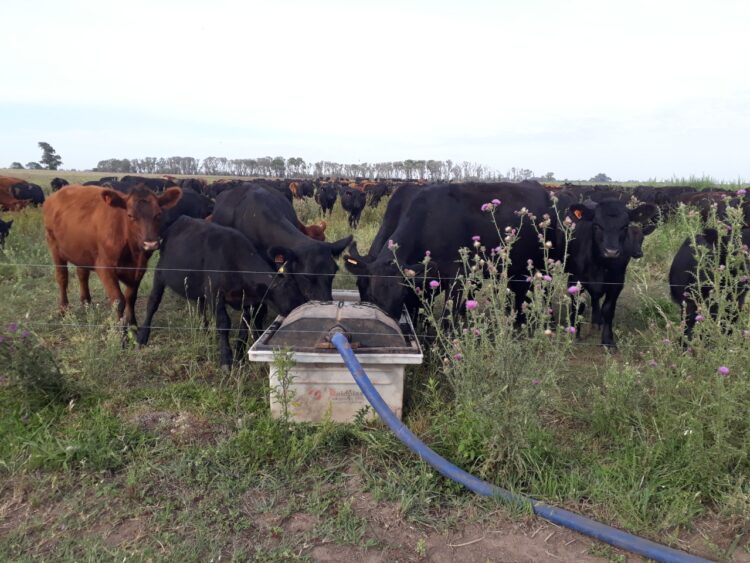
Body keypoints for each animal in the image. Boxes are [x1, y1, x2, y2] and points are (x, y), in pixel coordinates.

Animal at [42, 184, 182, 326]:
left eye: (158, 214)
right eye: (130, 215)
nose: (151, 243)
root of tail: (58, 193)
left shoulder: (140, 269)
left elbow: (131, 297)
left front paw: (132, 324)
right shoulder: (104, 267)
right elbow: (118, 301)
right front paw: (121, 329)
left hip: (81, 251)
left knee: (82, 274)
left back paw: (86, 303)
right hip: (53, 245)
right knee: (62, 278)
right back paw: (63, 309)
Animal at [136, 217, 306, 368]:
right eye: (290, 300)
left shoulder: (248, 300)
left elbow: (245, 325)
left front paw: (240, 355)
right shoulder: (215, 294)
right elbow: (224, 323)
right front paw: (226, 359)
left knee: (201, 308)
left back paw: (205, 333)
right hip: (160, 273)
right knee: (153, 302)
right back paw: (142, 336)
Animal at [563, 199, 658, 347]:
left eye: (625, 226)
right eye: (596, 225)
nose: (611, 252)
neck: (600, 264)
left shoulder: (617, 282)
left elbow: (608, 309)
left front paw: (608, 340)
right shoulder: (574, 279)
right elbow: (578, 306)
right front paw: (574, 334)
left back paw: (597, 321)